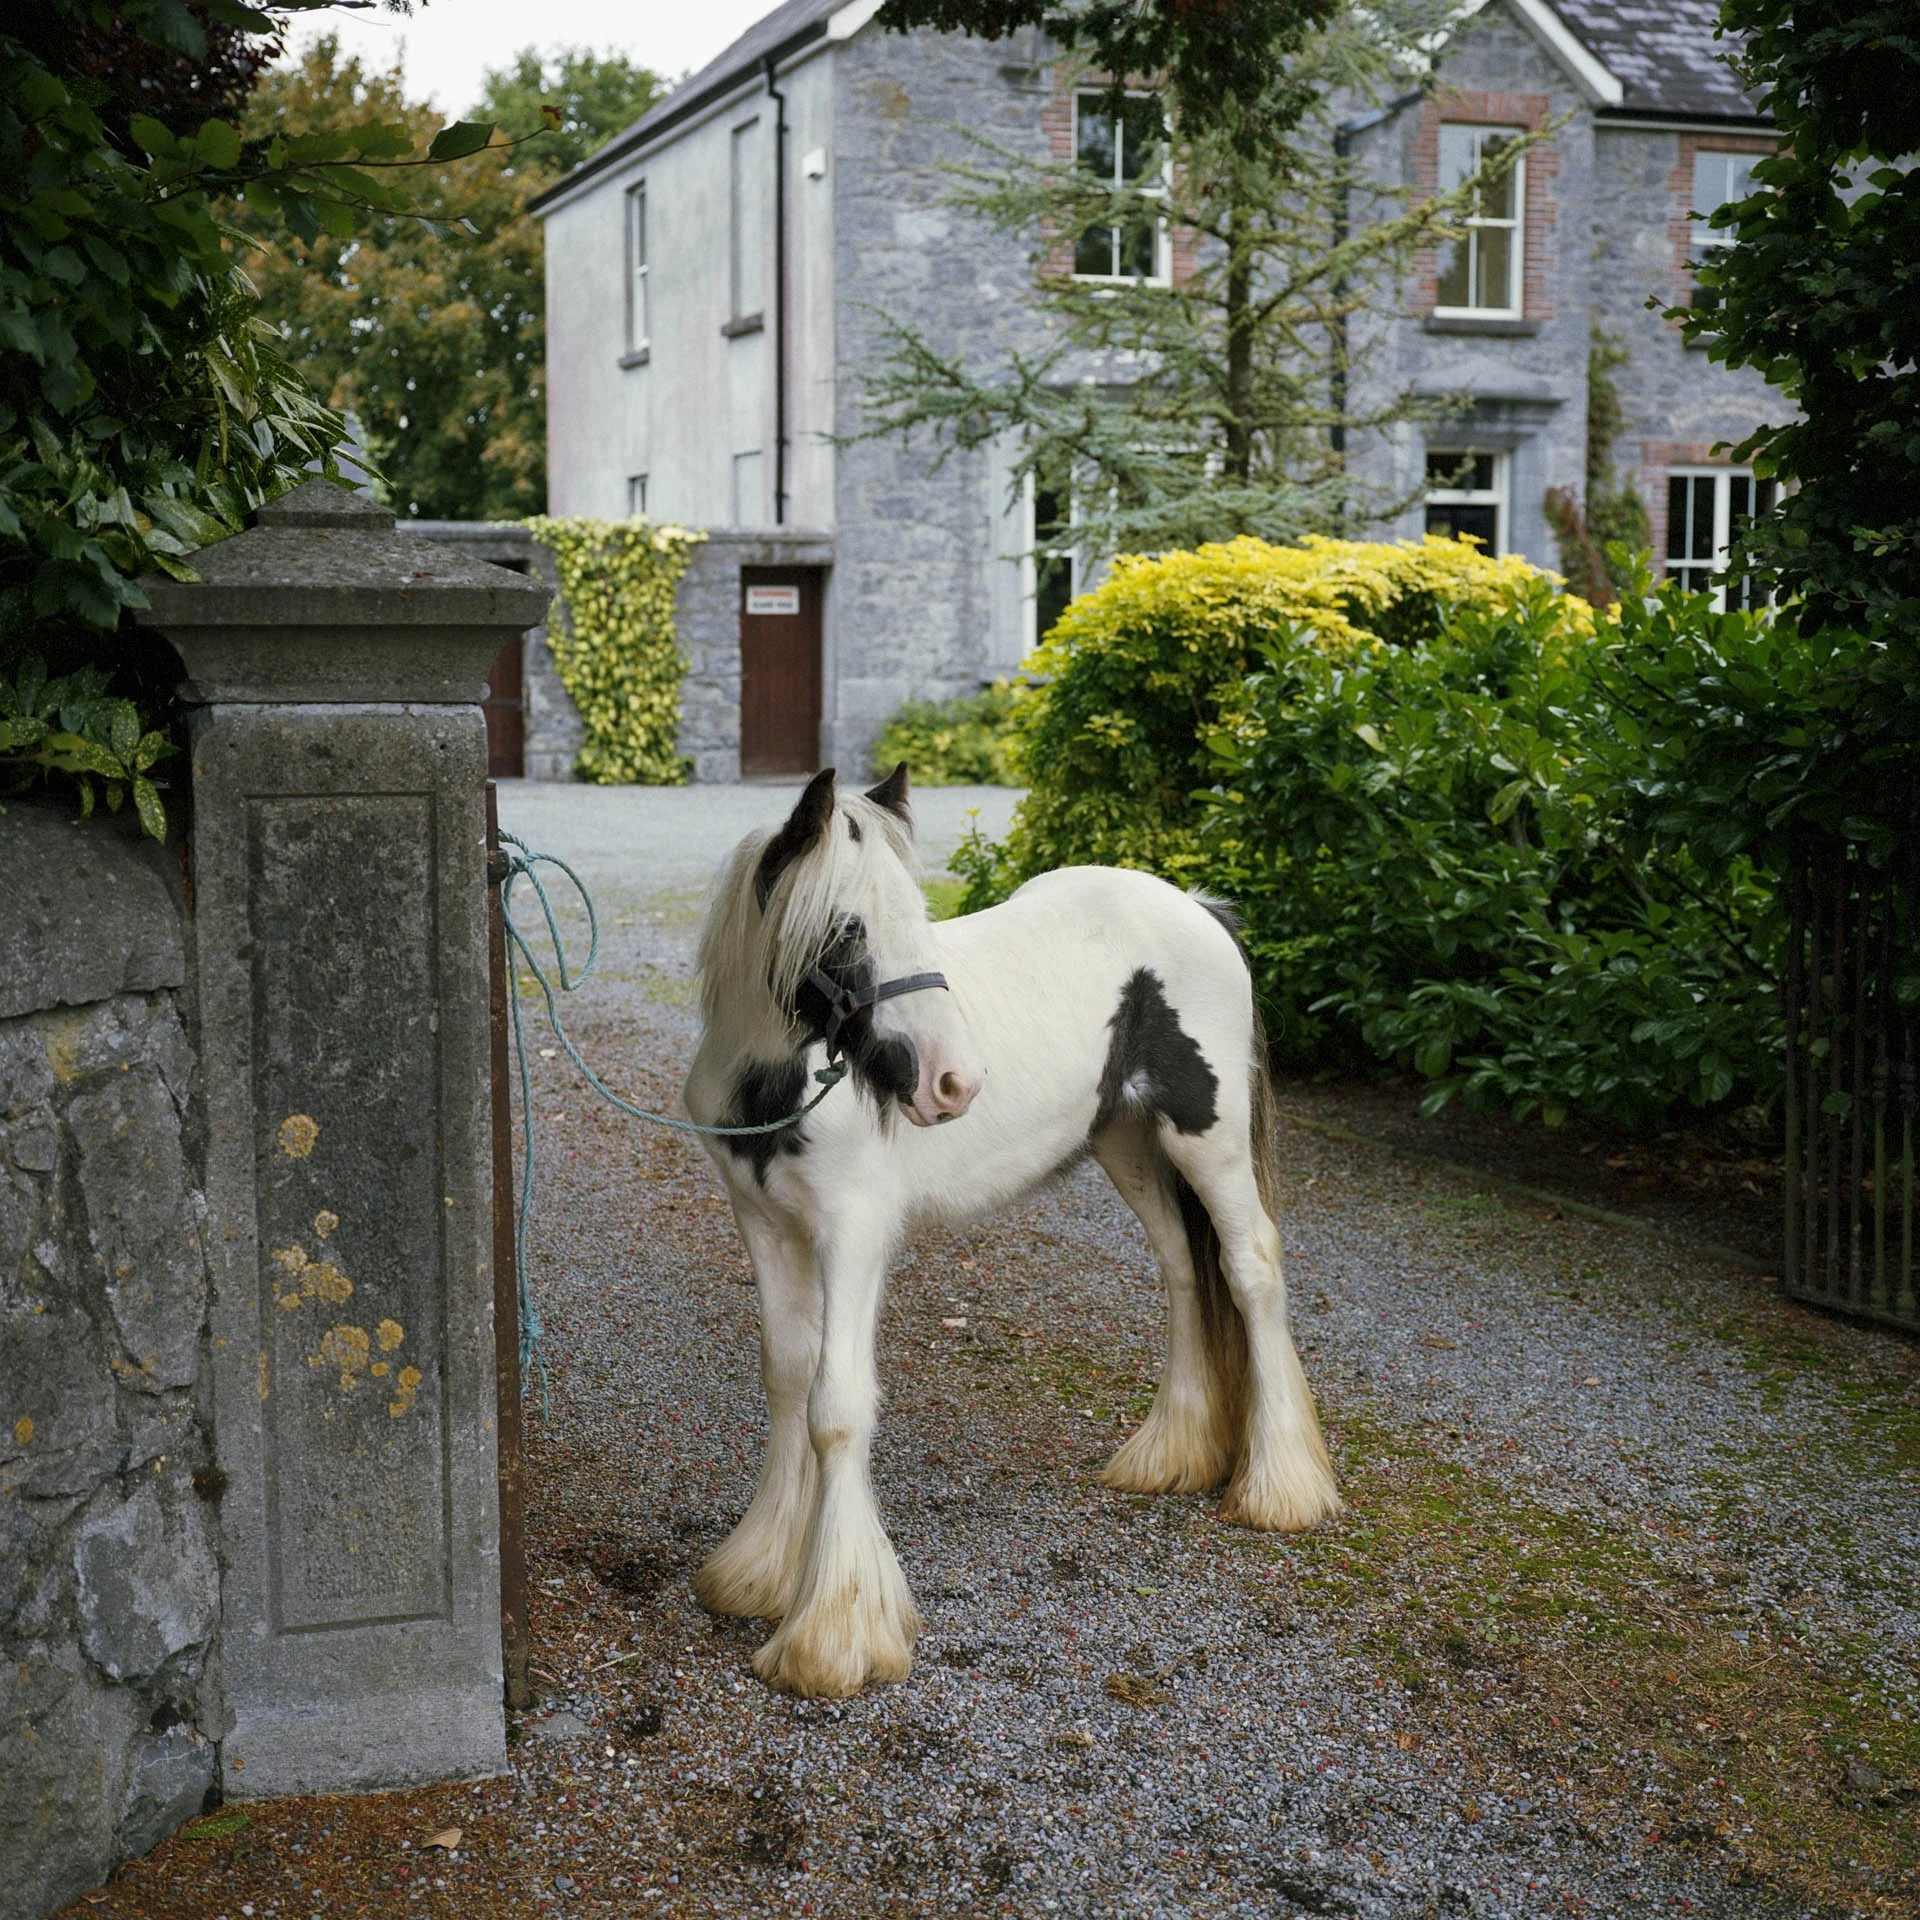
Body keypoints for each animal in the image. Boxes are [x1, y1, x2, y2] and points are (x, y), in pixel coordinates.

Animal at [683, 763, 1341, 1698]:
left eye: (917, 910)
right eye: (847, 927)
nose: (952, 1082)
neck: (781, 1083)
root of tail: (1196, 907)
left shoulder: (854, 1236)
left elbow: (837, 1406)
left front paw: (834, 1636)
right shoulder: (766, 1226)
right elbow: (786, 1378)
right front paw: (762, 1572)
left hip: (1205, 1140)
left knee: (1250, 1270)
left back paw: (1281, 1489)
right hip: (1126, 1145)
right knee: (1185, 1270)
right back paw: (1169, 1455)